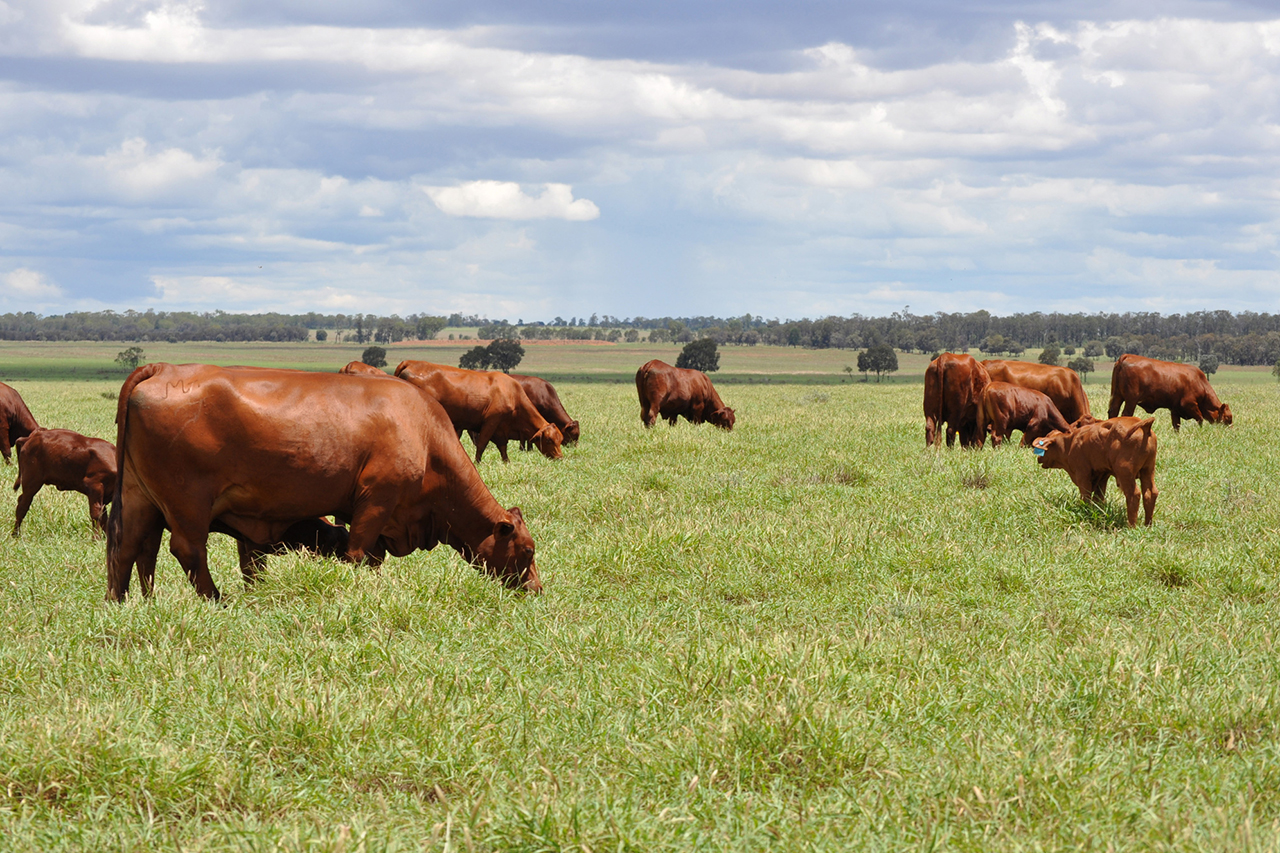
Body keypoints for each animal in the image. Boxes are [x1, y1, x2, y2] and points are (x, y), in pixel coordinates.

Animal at [107, 361, 542, 601]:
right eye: (527, 551)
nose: (536, 590)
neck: (424, 433)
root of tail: (163, 369)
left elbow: (373, 559)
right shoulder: (375, 503)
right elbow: (357, 553)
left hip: (139, 498)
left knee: (127, 547)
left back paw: (122, 602)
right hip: (187, 503)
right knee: (188, 551)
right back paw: (217, 600)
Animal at [391, 361, 563, 461]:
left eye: (560, 439)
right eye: (549, 440)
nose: (559, 457)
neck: (512, 394)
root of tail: (411, 363)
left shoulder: (500, 428)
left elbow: (502, 447)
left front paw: (506, 461)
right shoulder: (491, 422)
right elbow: (482, 443)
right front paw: (477, 462)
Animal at [1029, 412, 1162, 525]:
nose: (1038, 458)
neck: (1070, 443)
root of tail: (1144, 425)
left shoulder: (1082, 474)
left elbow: (1086, 496)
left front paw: (1085, 512)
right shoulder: (1102, 475)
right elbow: (1098, 498)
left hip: (1125, 472)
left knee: (1133, 495)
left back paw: (1131, 526)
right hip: (1148, 470)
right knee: (1150, 493)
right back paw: (1147, 525)